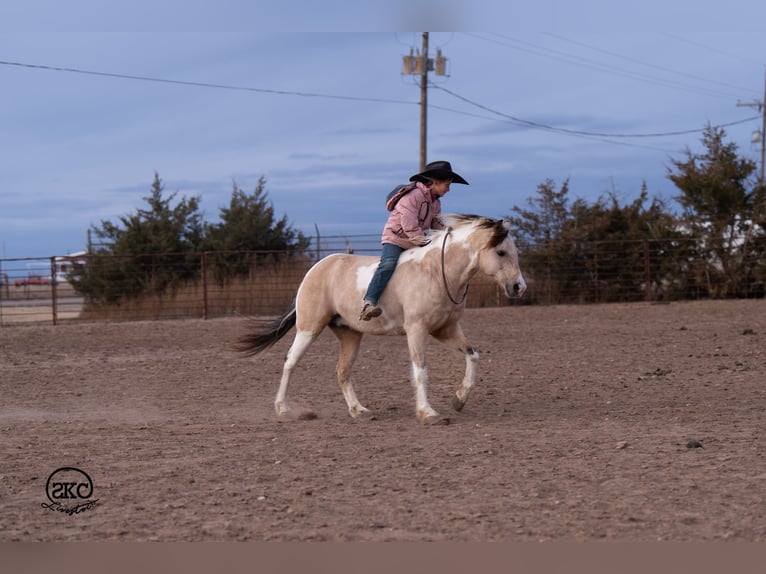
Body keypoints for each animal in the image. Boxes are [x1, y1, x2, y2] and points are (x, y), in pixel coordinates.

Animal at [234, 214, 526, 425]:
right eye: (501, 252)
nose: (519, 287)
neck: (435, 271)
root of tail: (317, 268)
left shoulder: (446, 329)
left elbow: (473, 355)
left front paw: (459, 400)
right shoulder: (417, 329)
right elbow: (420, 371)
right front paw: (428, 413)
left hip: (350, 334)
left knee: (342, 371)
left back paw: (359, 410)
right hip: (309, 327)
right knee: (290, 362)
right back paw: (284, 409)